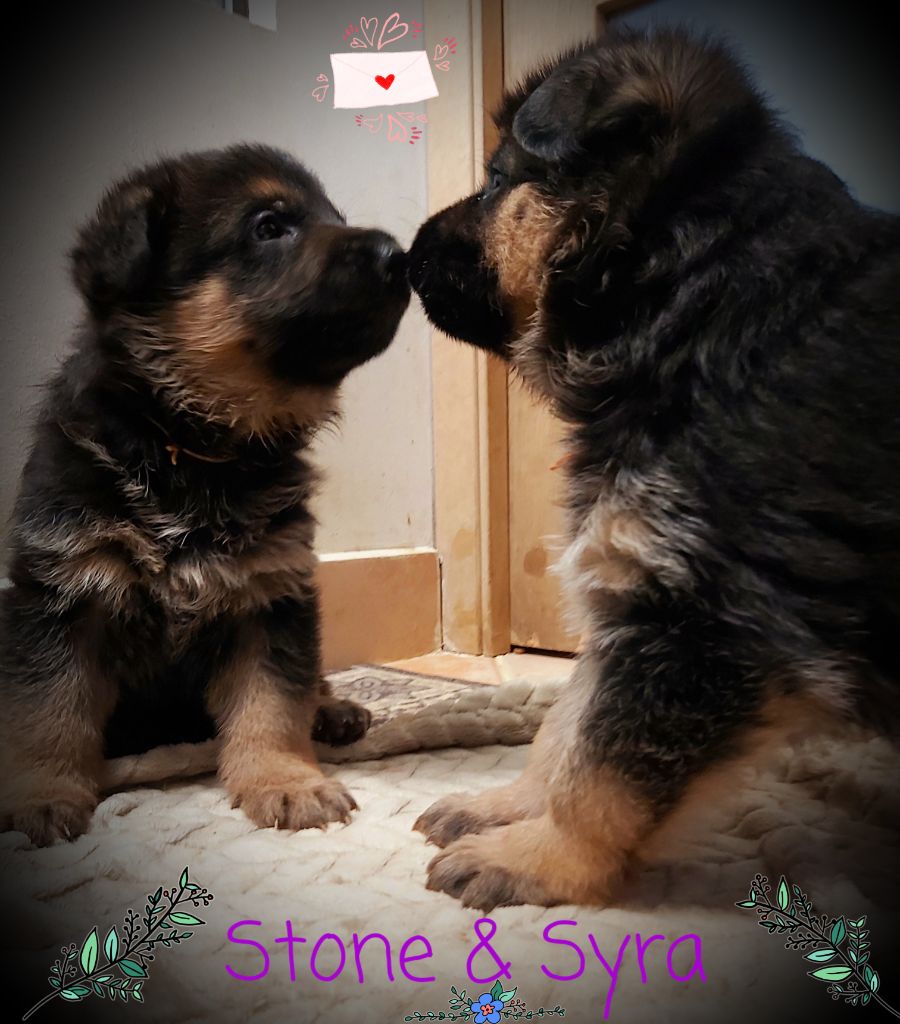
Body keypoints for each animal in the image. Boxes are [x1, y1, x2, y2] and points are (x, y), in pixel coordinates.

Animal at [1, 144, 409, 847]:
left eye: (335, 218)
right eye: (269, 226)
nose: (398, 255)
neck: (189, 445)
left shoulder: (271, 594)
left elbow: (272, 705)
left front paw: (286, 781)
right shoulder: (63, 595)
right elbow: (49, 711)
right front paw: (43, 795)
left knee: (309, 683)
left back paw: (332, 710)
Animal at [409, 29, 900, 913]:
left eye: (498, 181)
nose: (400, 255)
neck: (696, 302)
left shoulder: (704, 613)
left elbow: (602, 765)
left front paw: (539, 857)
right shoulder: (633, 579)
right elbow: (566, 726)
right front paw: (506, 806)